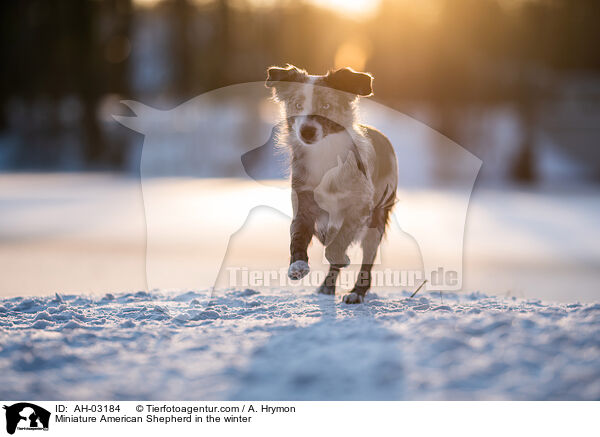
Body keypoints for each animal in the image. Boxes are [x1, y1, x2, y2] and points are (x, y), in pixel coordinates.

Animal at [266, 64, 398, 304]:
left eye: (326, 105)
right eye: (297, 105)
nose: (307, 131)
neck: (324, 154)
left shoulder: (360, 207)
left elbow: (339, 242)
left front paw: (340, 257)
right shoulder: (303, 203)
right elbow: (298, 234)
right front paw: (297, 264)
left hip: (377, 221)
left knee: (367, 259)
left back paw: (357, 292)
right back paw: (328, 286)